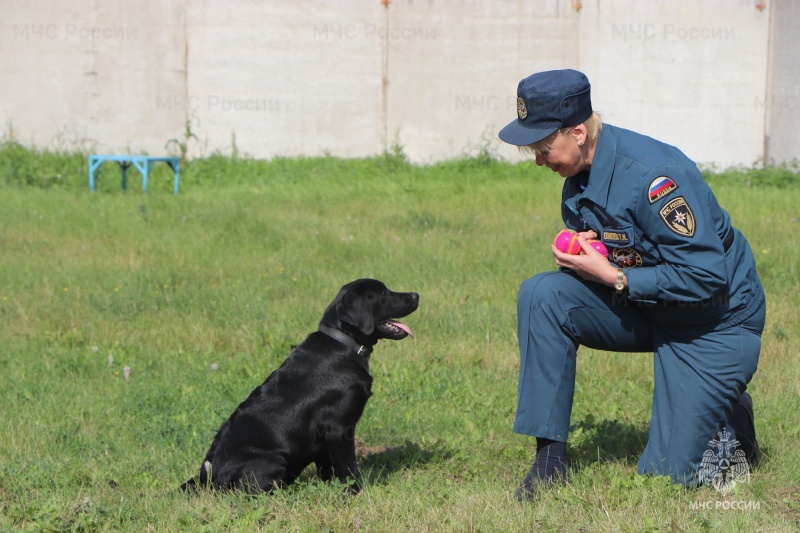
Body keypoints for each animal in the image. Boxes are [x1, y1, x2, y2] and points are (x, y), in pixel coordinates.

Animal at [181, 278, 418, 494]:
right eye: (384, 293)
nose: (416, 295)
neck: (344, 345)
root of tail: (208, 476)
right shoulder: (339, 427)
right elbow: (348, 468)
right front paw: (354, 493)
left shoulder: (324, 440)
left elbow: (327, 469)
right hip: (275, 460)